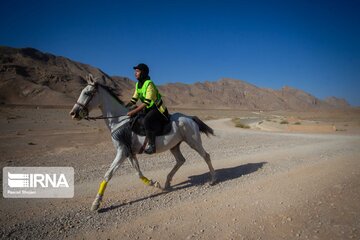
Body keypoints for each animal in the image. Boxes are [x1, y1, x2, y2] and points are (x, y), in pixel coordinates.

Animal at [70, 76, 217, 211]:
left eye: (87, 93)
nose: (73, 113)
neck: (119, 121)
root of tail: (190, 118)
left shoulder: (122, 151)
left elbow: (108, 174)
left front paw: (96, 203)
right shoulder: (130, 153)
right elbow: (138, 173)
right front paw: (154, 183)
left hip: (193, 142)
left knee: (206, 156)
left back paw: (212, 180)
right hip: (174, 146)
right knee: (181, 160)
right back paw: (167, 182)